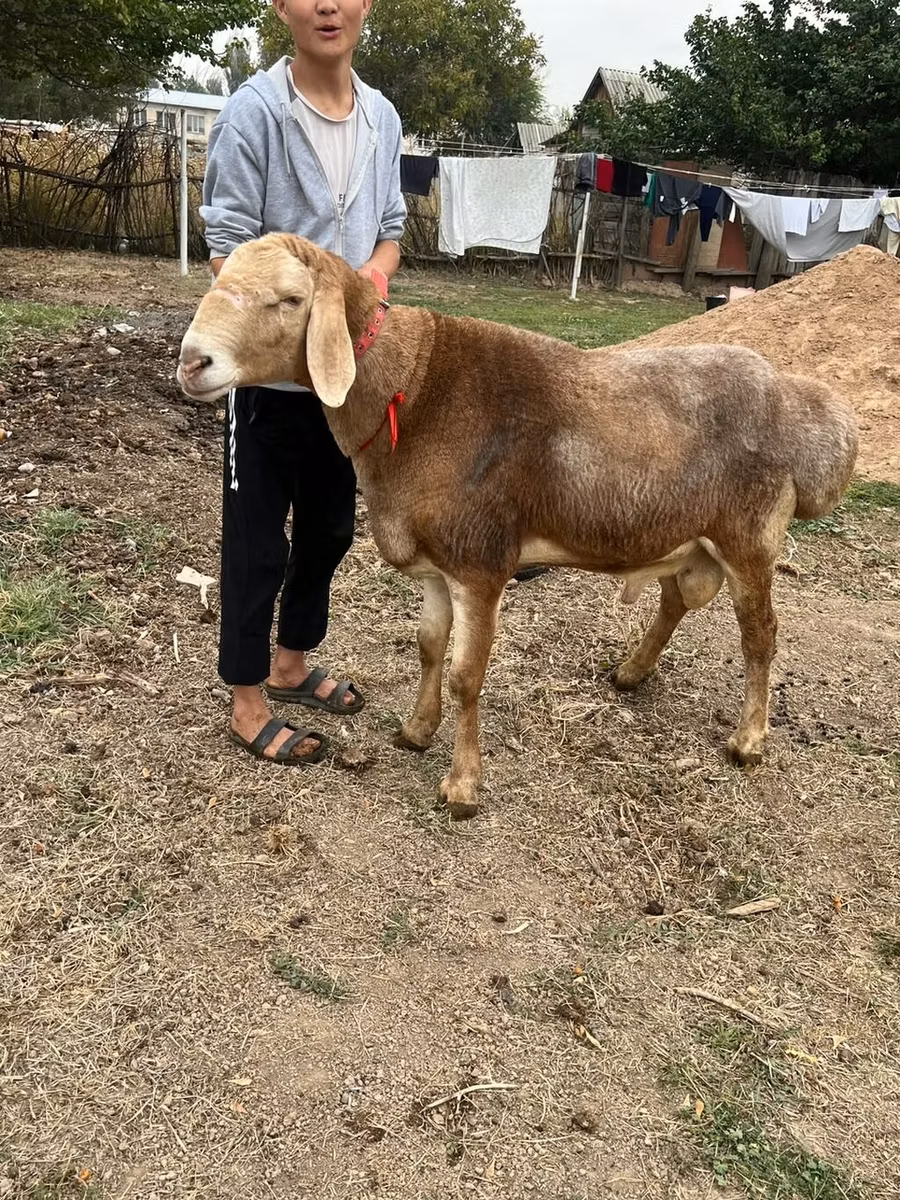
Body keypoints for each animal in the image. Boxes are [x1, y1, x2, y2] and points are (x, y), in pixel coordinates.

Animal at [178, 233, 859, 818]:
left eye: (290, 300)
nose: (192, 362)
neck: (413, 390)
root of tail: (803, 406)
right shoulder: (437, 568)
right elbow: (429, 647)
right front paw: (415, 731)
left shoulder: (480, 565)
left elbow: (465, 676)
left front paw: (461, 787)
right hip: (691, 538)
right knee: (675, 601)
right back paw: (631, 672)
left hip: (749, 538)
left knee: (760, 636)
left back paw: (748, 740)